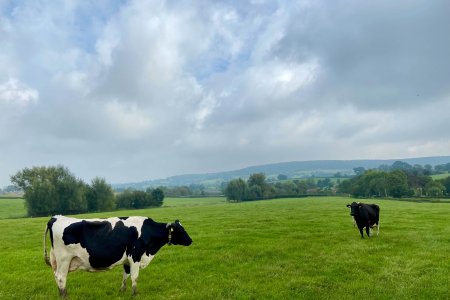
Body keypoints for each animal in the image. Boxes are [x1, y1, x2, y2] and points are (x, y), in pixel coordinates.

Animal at [41, 214, 191, 296]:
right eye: (180, 230)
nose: (190, 241)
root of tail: (56, 217)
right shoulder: (135, 255)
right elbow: (135, 277)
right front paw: (135, 293)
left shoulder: (127, 260)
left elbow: (126, 275)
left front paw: (122, 291)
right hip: (64, 259)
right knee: (61, 278)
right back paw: (65, 296)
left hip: (56, 260)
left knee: (57, 277)